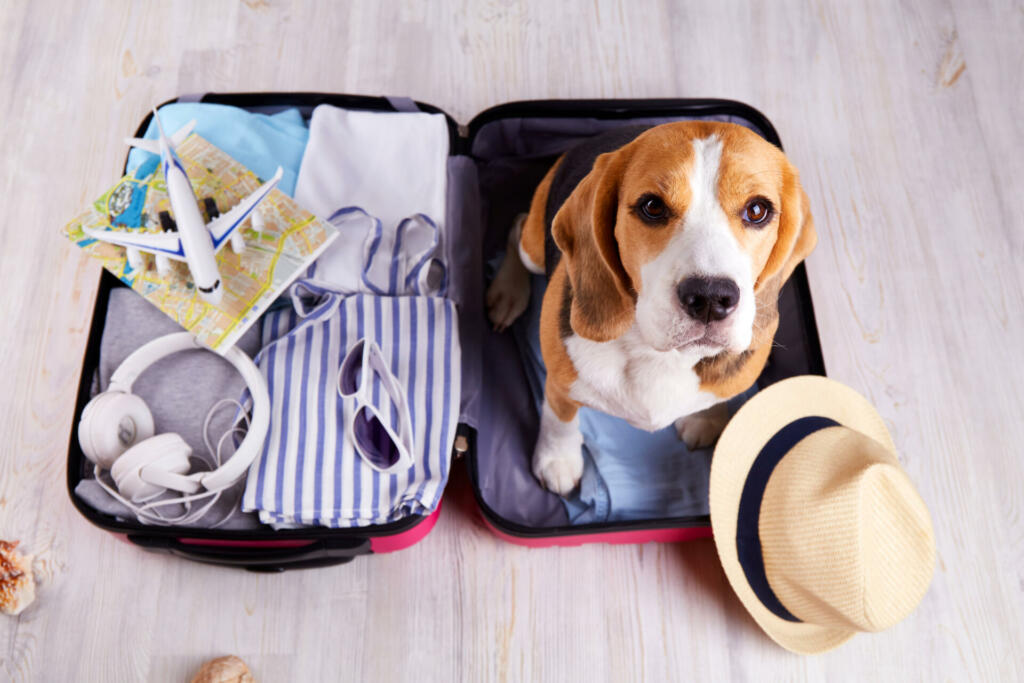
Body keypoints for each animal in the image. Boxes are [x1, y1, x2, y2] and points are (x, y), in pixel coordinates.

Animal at [487, 122, 815, 493]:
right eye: (652, 207)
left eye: (757, 210)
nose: (710, 298)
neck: (658, 353)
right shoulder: (560, 381)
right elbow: (560, 420)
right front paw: (558, 459)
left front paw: (706, 417)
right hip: (533, 249)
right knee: (517, 225)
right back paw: (507, 292)